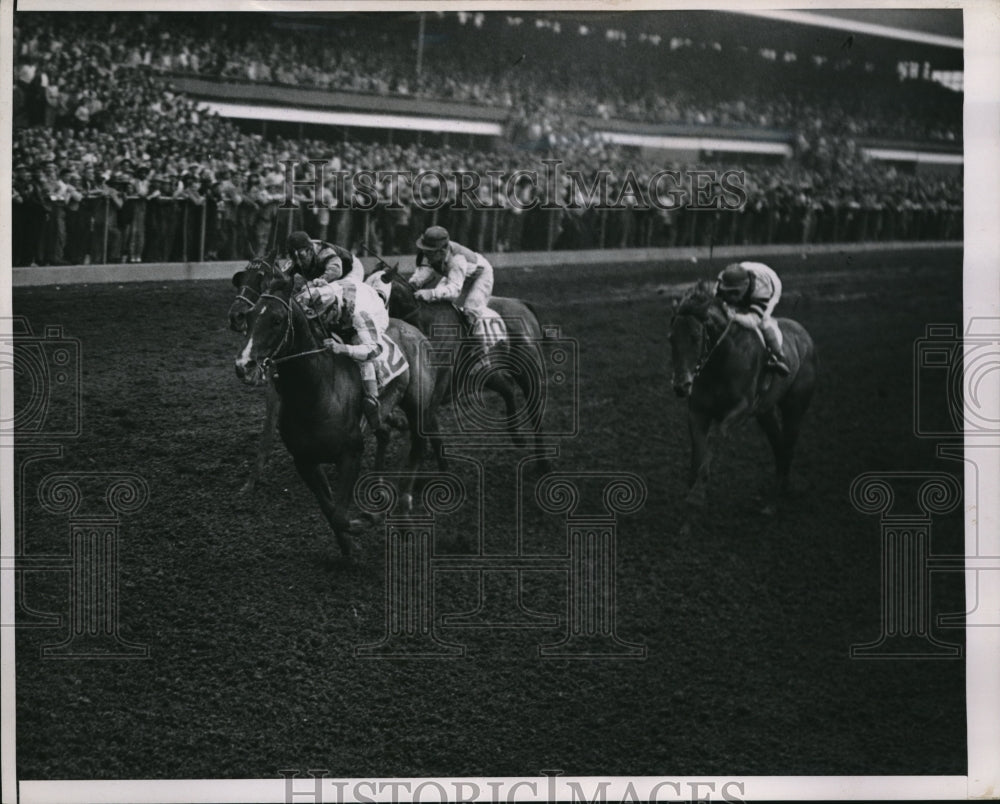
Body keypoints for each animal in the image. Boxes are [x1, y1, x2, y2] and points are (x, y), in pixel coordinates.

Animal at [668, 282, 816, 520]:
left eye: (695, 336)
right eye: (671, 338)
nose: (681, 385)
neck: (720, 361)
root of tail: (804, 335)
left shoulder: (741, 410)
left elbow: (715, 438)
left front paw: (697, 496)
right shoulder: (697, 412)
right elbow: (698, 448)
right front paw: (691, 492)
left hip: (794, 409)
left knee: (788, 447)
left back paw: (774, 501)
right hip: (766, 413)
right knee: (779, 446)